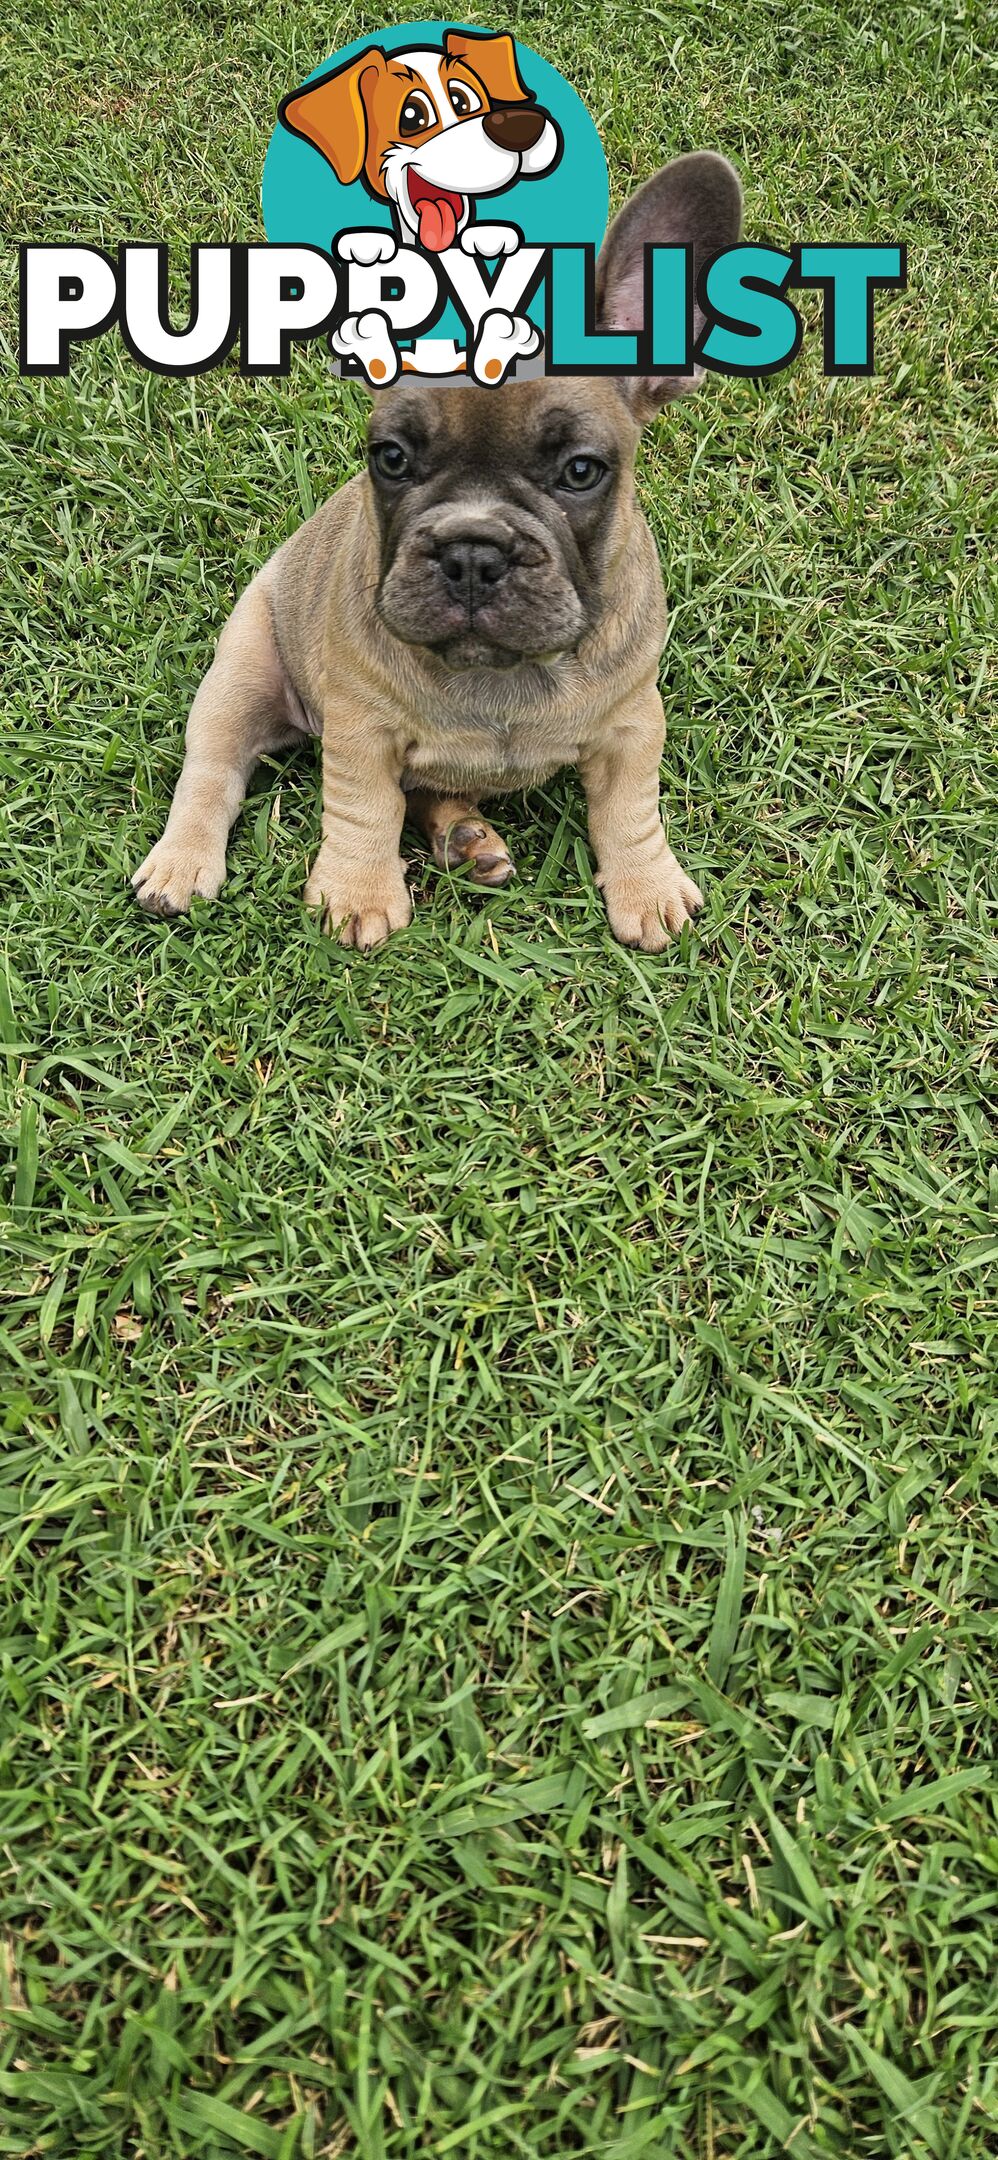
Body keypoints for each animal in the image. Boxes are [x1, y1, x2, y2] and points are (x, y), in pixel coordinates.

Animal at [132, 152, 738, 954]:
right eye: (390, 458)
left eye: (582, 471)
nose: (473, 552)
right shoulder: (361, 730)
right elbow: (364, 807)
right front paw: (358, 891)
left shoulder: (633, 727)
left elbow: (630, 811)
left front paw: (647, 886)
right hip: (243, 669)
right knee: (211, 770)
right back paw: (181, 863)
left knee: (430, 792)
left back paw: (467, 842)